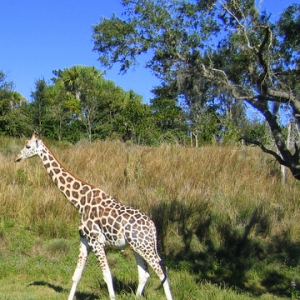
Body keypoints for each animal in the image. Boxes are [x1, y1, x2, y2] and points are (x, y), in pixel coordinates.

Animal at [14, 133, 173, 300]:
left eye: (28, 146)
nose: (17, 158)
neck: (80, 202)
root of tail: (153, 227)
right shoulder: (85, 240)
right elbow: (76, 275)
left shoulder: (96, 241)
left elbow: (107, 276)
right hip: (137, 247)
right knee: (145, 274)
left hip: (145, 246)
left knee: (162, 271)